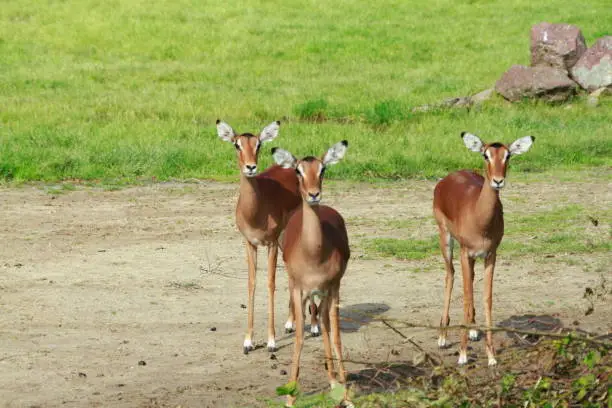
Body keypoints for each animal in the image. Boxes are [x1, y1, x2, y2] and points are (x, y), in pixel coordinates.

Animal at [218, 119, 308, 352]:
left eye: (259, 144)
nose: (250, 167)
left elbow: (270, 283)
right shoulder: (250, 243)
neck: (255, 211)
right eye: (237, 144)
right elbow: (252, 283)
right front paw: (248, 341)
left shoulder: (271, 243)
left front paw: (271, 341)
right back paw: (290, 323)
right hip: (285, 240)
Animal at [272, 141, 352, 408]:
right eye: (298, 170)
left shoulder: (333, 288)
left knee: (325, 324)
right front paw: (289, 396)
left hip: (327, 295)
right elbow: (299, 338)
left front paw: (346, 395)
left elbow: (335, 336)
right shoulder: (299, 290)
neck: (314, 254)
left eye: (323, 168)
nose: (314, 194)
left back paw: (334, 380)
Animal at [432, 133, 532, 366]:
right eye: (486, 155)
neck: (480, 219)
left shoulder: (490, 255)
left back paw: (473, 331)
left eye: (508, 155)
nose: (498, 181)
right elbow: (467, 296)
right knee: (450, 275)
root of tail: (448, 178)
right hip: (446, 240)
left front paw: (491, 356)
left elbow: (487, 298)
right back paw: (443, 336)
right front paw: (462, 354)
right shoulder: (464, 253)